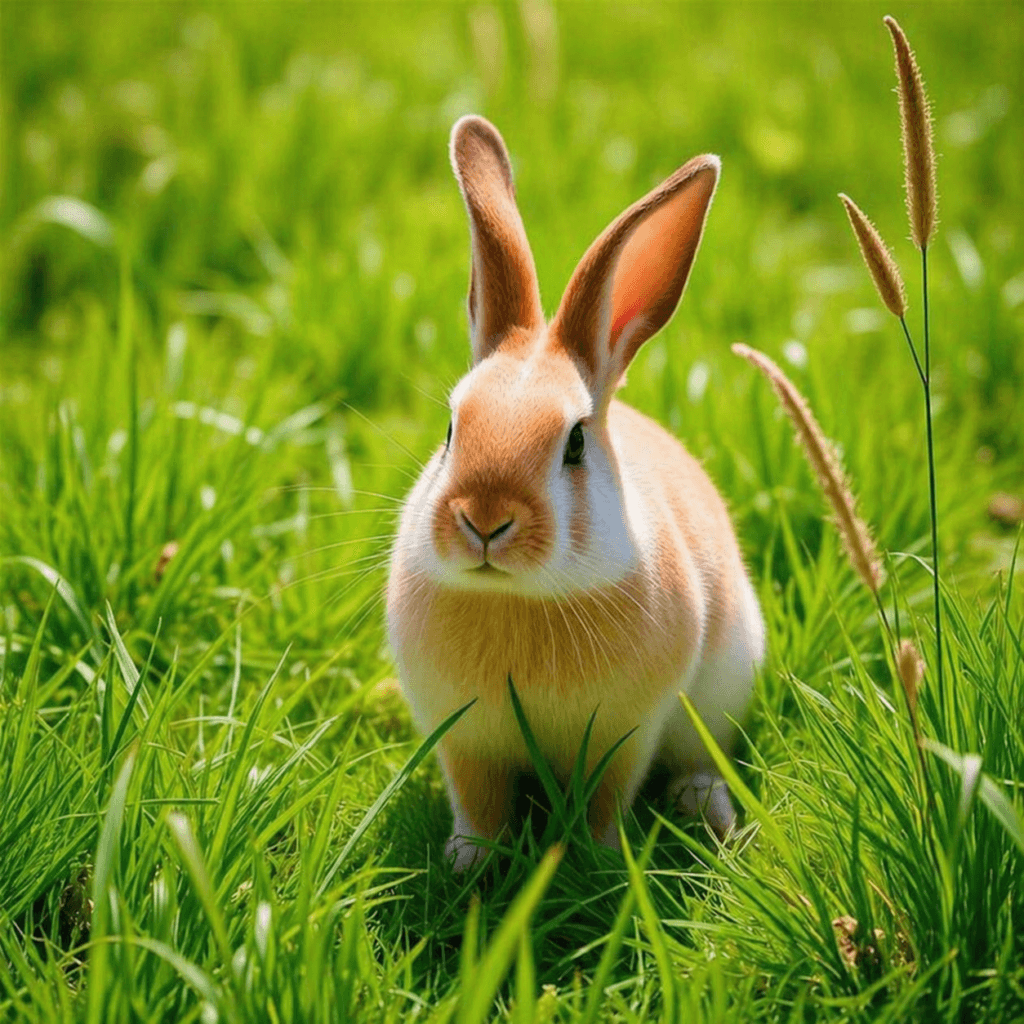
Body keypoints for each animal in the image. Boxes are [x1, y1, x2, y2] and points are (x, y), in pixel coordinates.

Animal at [386, 115, 765, 871]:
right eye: (451, 429)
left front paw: (599, 859)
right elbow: (479, 802)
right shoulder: (463, 740)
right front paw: (469, 862)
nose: (484, 521)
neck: (514, 599)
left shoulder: (628, 731)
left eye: (576, 444)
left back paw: (704, 807)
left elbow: (606, 796)